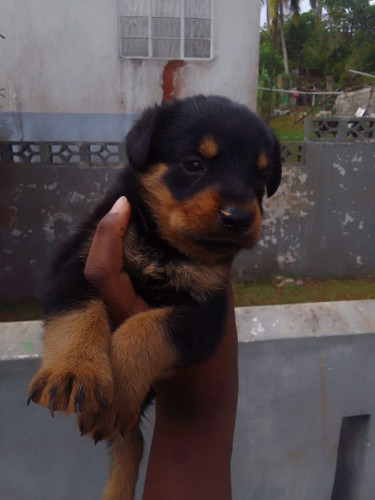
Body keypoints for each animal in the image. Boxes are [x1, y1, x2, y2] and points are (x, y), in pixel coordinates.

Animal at [27, 95, 282, 498]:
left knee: (129, 441)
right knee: (128, 444)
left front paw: (117, 390)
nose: (239, 217)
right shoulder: (73, 261)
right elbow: (78, 312)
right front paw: (73, 370)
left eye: (260, 178)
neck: (165, 249)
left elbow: (147, 327)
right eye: (193, 164)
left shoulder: (205, 315)